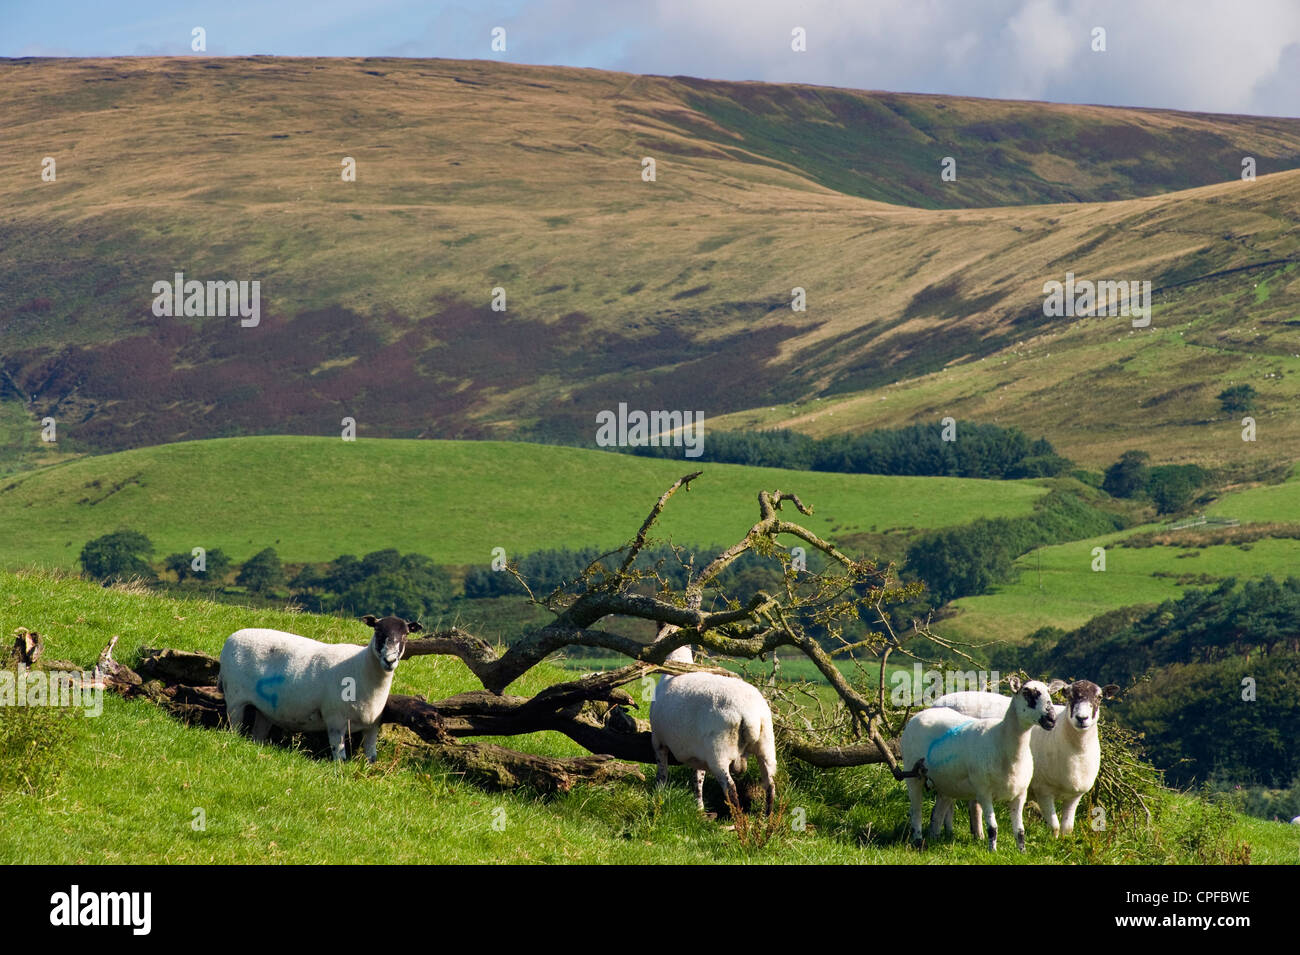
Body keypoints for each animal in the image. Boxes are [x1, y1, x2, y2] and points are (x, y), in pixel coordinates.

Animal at [217, 615, 421, 764]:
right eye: (378, 631)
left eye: (405, 635)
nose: (390, 660)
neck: (361, 668)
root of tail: (231, 638)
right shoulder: (335, 720)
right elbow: (340, 757)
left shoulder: (373, 725)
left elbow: (372, 757)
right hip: (235, 698)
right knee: (234, 726)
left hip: (265, 709)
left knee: (258, 733)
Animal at [647, 641, 769, 815]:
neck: (678, 659)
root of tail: (750, 715)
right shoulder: (699, 754)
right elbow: (698, 780)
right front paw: (699, 808)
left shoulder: (658, 740)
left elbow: (662, 772)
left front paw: (659, 794)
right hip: (766, 744)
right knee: (770, 785)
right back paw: (768, 816)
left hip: (719, 752)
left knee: (730, 787)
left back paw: (738, 817)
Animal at [904, 675, 1055, 857]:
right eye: (1027, 693)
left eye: (1049, 692)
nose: (1051, 719)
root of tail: (922, 713)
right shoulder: (984, 792)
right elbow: (993, 827)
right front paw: (993, 851)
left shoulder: (1020, 794)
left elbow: (1020, 830)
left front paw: (1022, 852)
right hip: (913, 774)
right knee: (916, 810)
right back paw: (918, 841)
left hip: (945, 782)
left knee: (937, 812)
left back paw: (934, 838)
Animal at [935, 680, 1118, 836]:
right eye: (1069, 695)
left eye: (1099, 697)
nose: (1082, 719)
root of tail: (938, 701)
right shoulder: (1043, 789)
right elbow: (1055, 825)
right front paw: (1053, 843)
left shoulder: (1075, 795)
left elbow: (1067, 828)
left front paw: (1064, 844)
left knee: (968, 803)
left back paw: (970, 834)